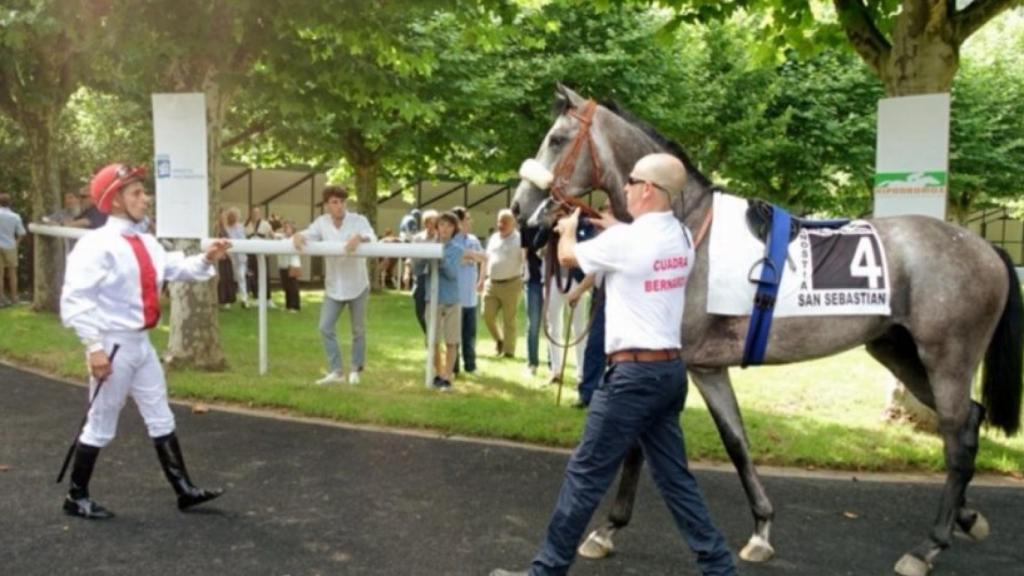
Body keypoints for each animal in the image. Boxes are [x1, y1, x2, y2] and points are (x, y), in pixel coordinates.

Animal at [512, 85, 1024, 573]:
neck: (687, 226)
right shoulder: (707, 368)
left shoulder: (669, 358)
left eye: (556, 139)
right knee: (968, 421)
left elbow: (639, 444)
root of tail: (985, 248)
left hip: (947, 357)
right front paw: (761, 529)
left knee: (957, 437)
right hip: (898, 351)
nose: (520, 208)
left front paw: (607, 529)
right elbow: (736, 440)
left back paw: (928, 547)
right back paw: (966, 518)